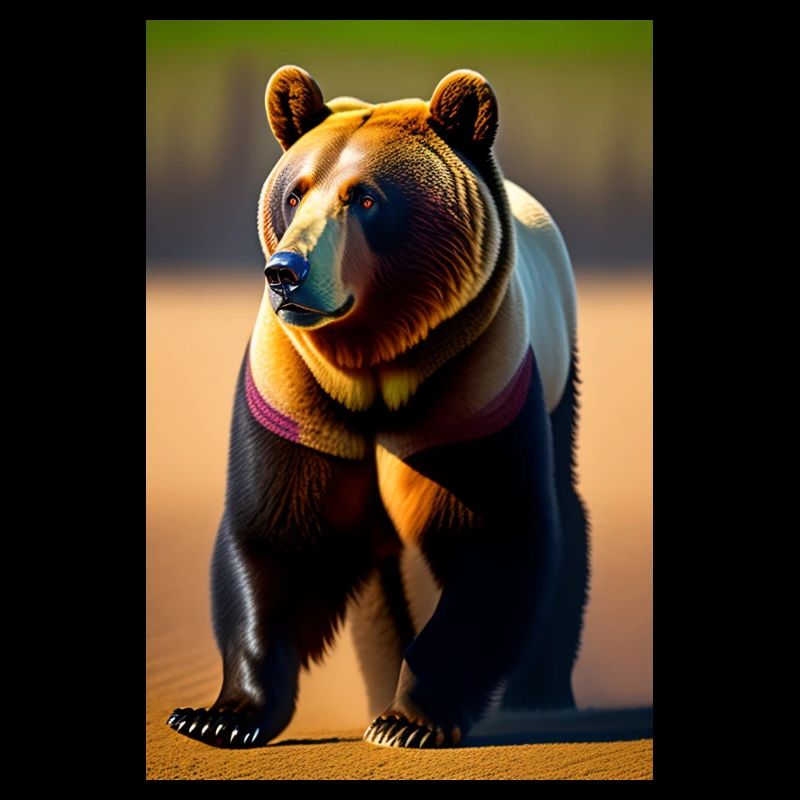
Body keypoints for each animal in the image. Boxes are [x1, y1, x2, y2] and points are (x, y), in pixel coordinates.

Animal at [166, 65, 589, 750]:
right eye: (294, 194)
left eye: (364, 199)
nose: (285, 272)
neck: (372, 366)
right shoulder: (295, 395)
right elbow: (275, 535)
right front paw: (218, 715)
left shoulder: (473, 388)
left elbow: (496, 536)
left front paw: (410, 721)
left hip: (555, 368)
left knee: (563, 505)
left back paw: (542, 696)